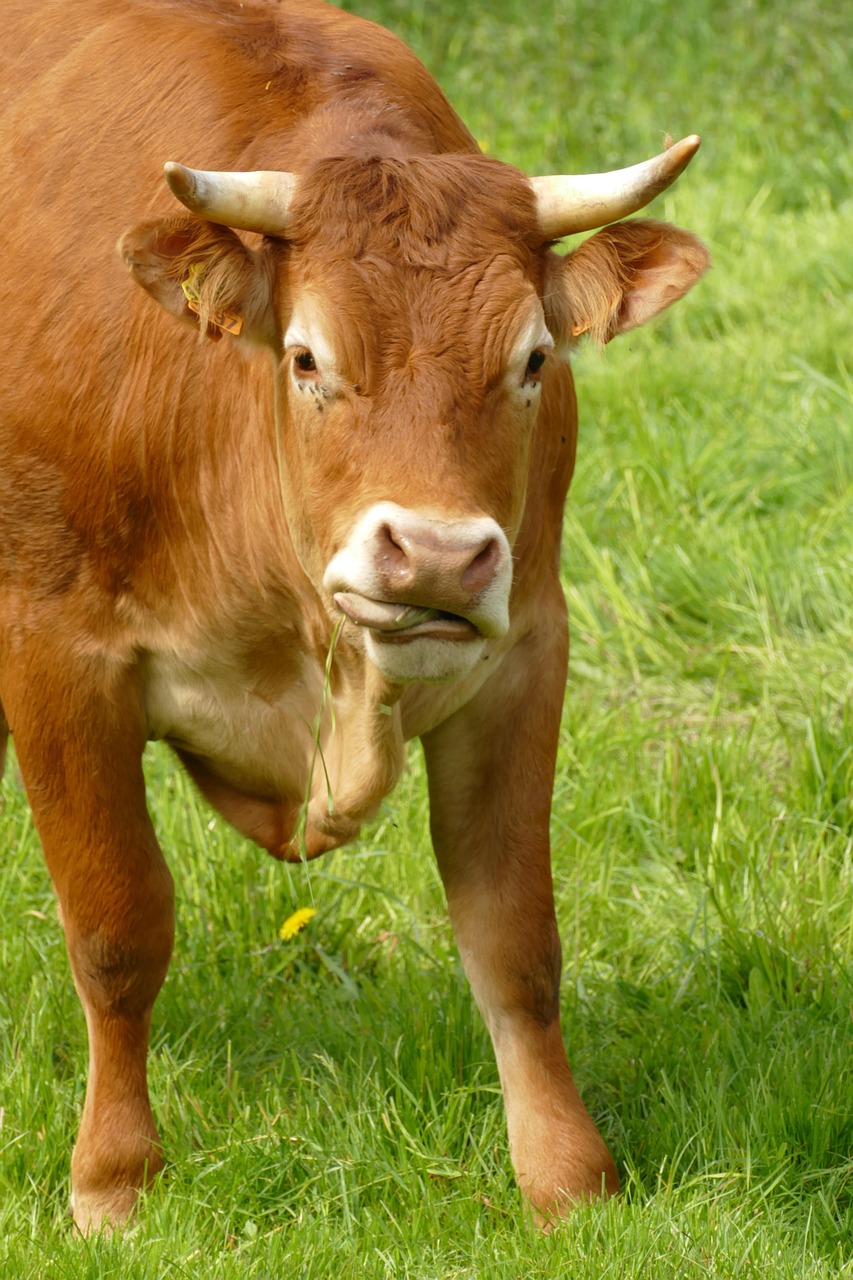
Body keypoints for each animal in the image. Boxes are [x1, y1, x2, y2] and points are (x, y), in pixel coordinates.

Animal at [0, 0, 709, 1232]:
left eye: (533, 359)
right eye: (305, 358)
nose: (436, 555)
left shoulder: (524, 649)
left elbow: (515, 938)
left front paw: (568, 1181)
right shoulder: (55, 653)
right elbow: (117, 927)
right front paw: (114, 1179)